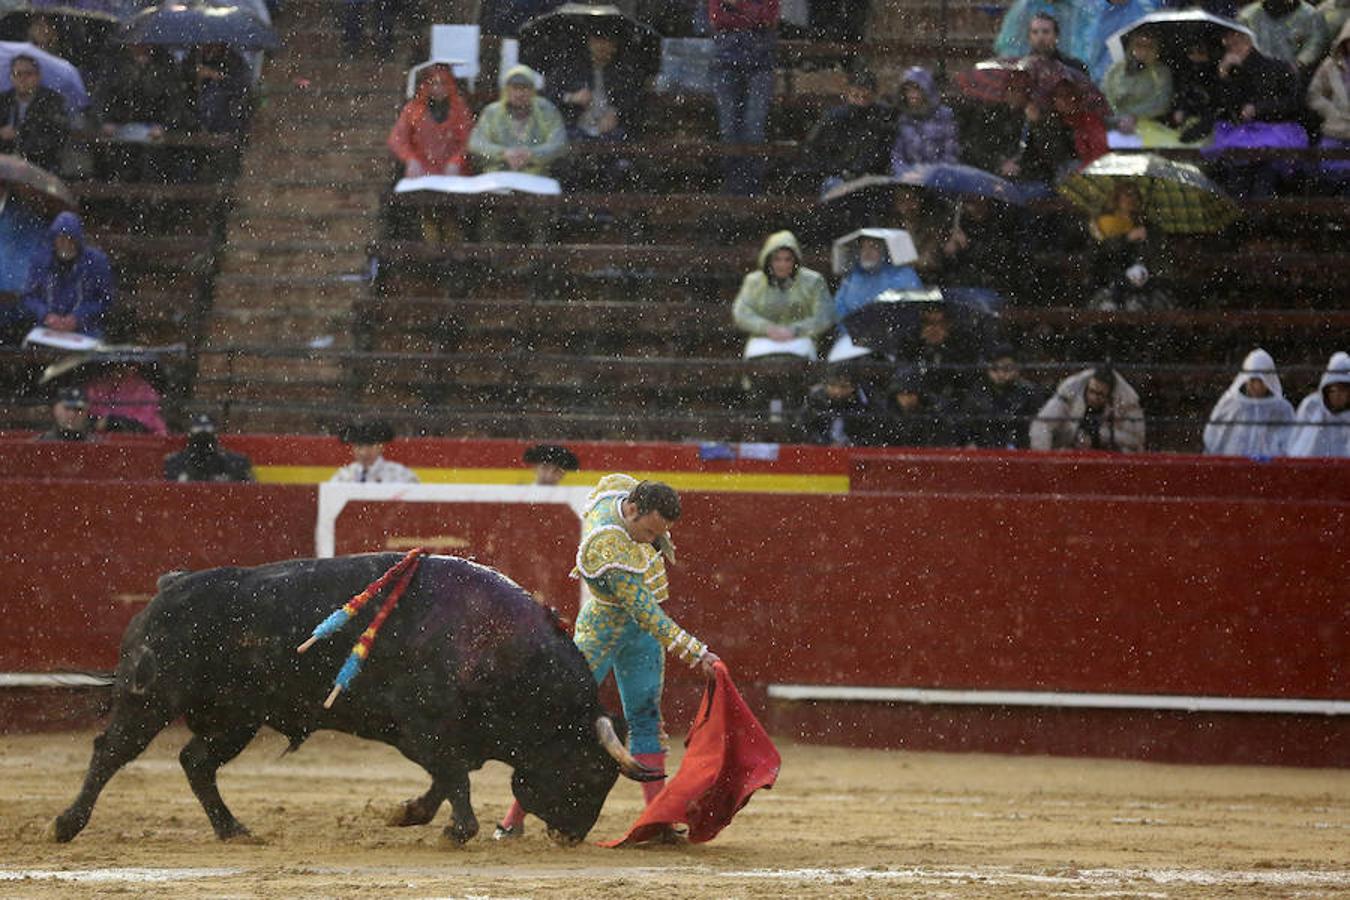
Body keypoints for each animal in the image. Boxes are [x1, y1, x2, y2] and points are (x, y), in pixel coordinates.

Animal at [51, 553, 658, 847]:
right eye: (592, 773)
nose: (572, 836)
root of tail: (169, 588)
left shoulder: (438, 737)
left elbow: (447, 779)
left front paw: (410, 814)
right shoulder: (423, 727)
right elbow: (454, 777)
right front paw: (453, 830)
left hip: (237, 718)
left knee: (196, 761)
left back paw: (233, 830)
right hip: (150, 698)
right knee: (111, 752)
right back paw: (66, 824)